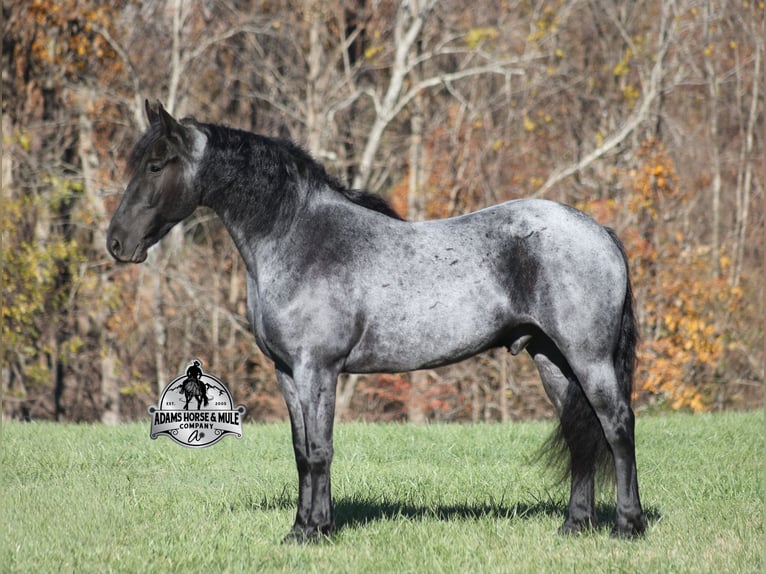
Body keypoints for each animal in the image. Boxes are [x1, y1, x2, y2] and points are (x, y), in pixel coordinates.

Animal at [107, 100, 647, 543]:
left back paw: (628, 525)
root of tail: (600, 231)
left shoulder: (318, 370)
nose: (116, 242)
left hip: (588, 358)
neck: (297, 236)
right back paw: (575, 525)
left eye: (155, 164)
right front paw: (302, 527)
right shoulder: (287, 374)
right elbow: (301, 451)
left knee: (617, 425)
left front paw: (316, 532)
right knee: (580, 433)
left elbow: (320, 449)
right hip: (552, 359)